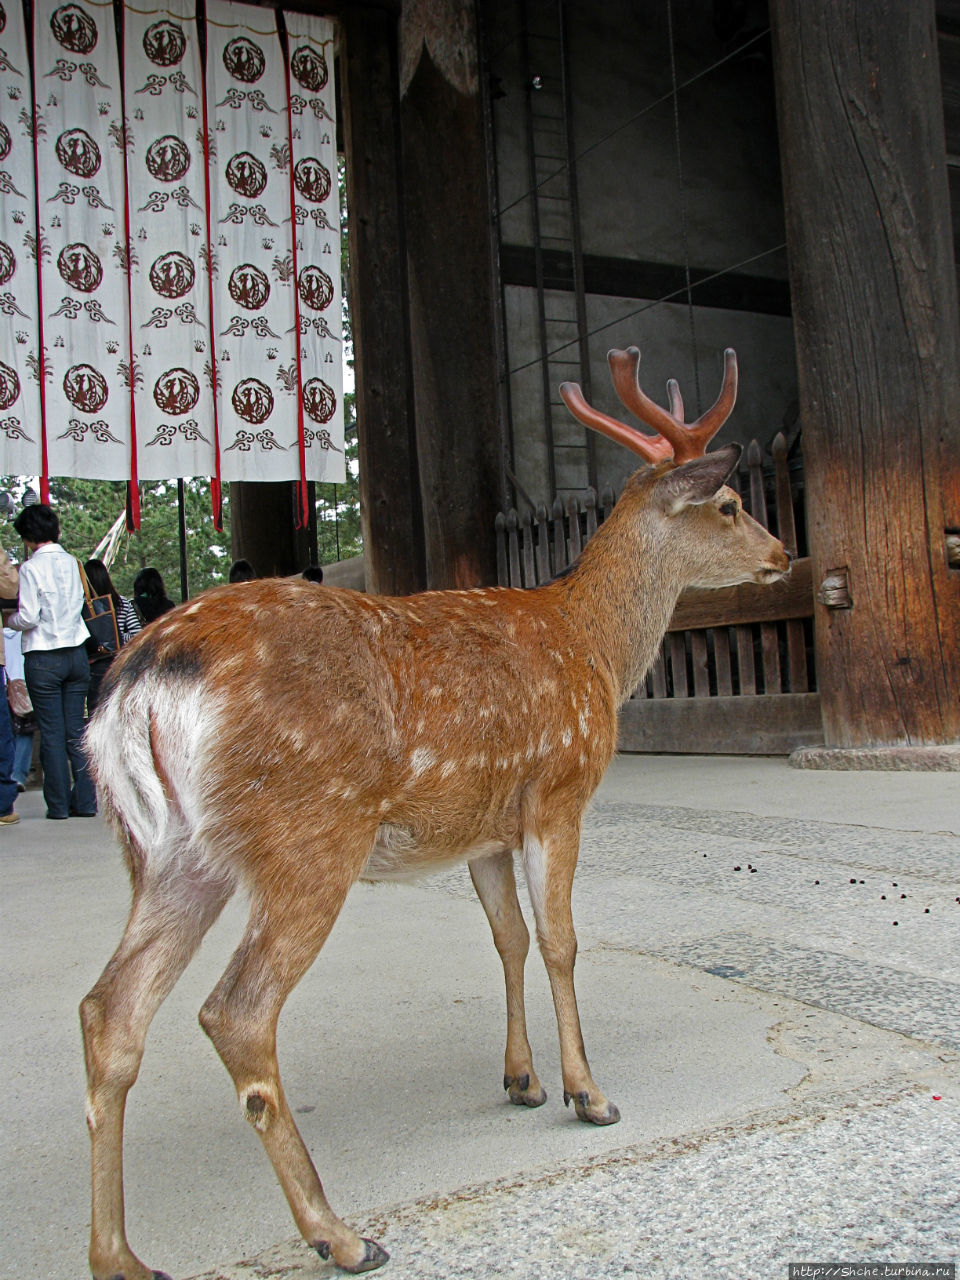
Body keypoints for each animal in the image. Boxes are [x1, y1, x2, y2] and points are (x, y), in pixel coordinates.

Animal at [80, 348, 788, 1280]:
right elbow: (560, 941)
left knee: (110, 1012)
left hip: (165, 855)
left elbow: (509, 939)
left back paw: (120, 1256)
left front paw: (522, 1081)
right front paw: (588, 1093)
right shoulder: (558, 790)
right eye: (731, 505)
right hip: (307, 837)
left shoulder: (482, 829)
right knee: (234, 1012)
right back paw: (340, 1233)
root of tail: (143, 679)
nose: (784, 554)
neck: (595, 648)